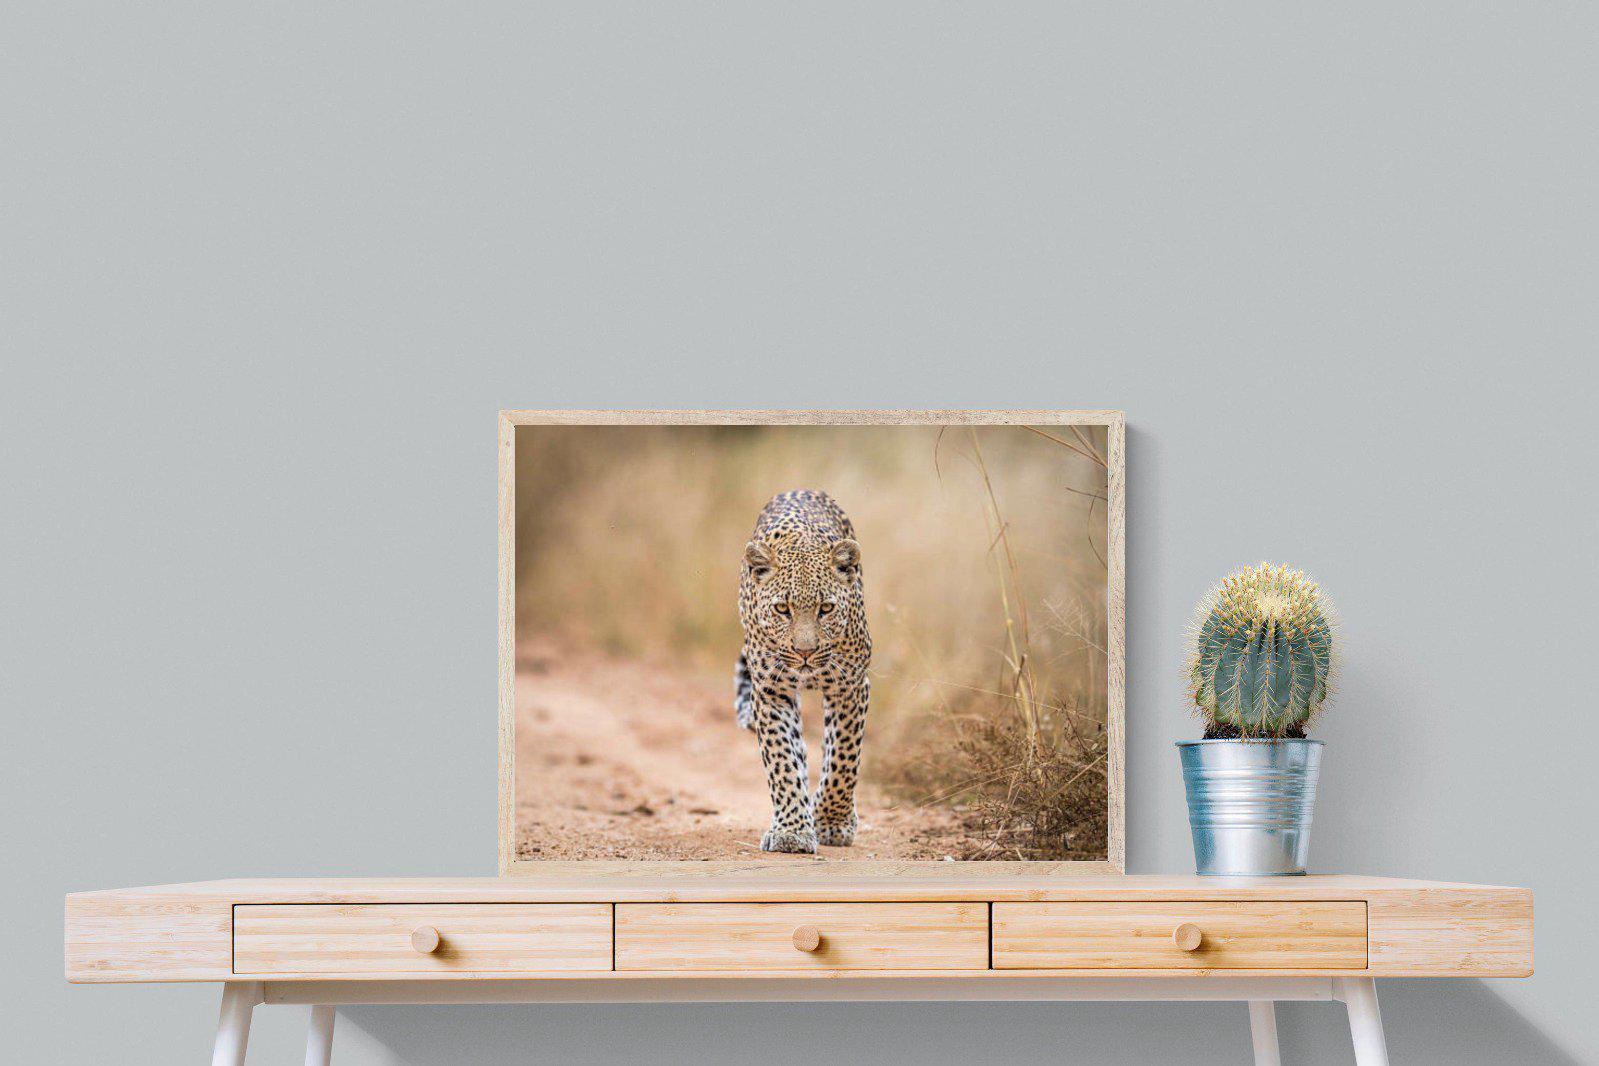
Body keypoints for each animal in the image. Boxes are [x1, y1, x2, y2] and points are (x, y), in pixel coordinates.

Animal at [734, 489, 872, 854]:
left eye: (826, 608)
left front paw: (832, 822)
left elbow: (843, 758)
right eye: (783, 609)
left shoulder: (850, 686)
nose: (805, 652)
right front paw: (792, 831)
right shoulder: (771, 691)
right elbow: (782, 760)